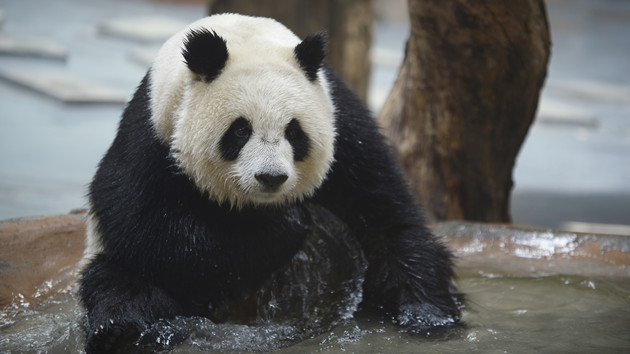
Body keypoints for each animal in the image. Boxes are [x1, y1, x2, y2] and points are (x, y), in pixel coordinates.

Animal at [81, 13, 462, 352]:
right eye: (239, 130)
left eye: (294, 132)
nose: (271, 177)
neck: (245, 35)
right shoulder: (153, 133)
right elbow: (145, 225)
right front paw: (287, 224)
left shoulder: (342, 124)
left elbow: (386, 214)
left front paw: (426, 314)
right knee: (117, 282)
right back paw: (125, 330)